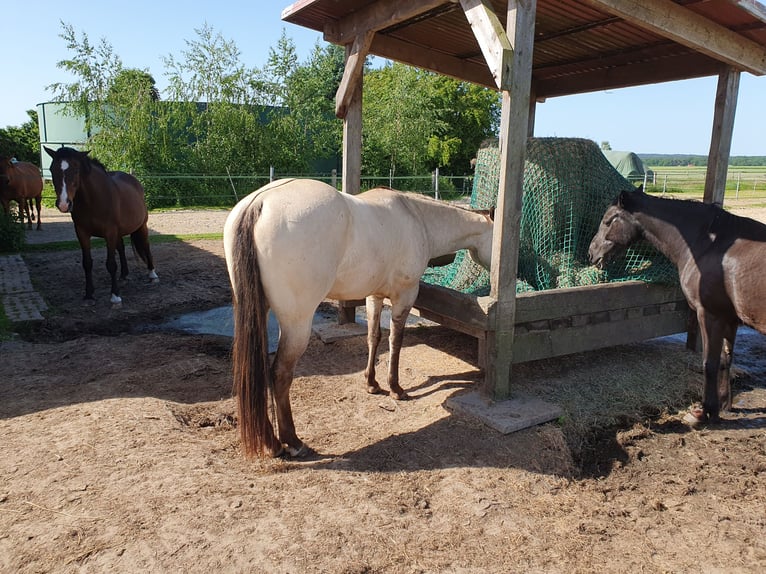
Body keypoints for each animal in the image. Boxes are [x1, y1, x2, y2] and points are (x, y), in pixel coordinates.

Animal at [44, 146, 159, 308]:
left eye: (76, 170)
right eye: (52, 169)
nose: (64, 204)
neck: (94, 200)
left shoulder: (109, 233)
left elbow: (111, 264)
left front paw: (115, 297)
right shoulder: (82, 233)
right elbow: (87, 263)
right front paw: (89, 295)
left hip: (142, 226)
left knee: (146, 246)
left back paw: (152, 275)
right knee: (121, 248)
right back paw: (124, 275)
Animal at [224, 178, 494, 458]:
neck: (417, 216)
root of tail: (259, 203)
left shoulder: (374, 296)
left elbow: (374, 337)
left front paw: (372, 383)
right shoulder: (404, 297)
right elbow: (395, 342)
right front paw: (396, 388)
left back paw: (271, 443)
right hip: (296, 323)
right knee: (280, 373)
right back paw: (292, 442)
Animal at [588, 186, 766, 425]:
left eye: (607, 221)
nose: (591, 253)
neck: (709, 246)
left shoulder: (710, 315)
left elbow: (709, 363)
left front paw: (704, 411)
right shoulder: (730, 318)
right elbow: (725, 359)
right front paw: (723, 405)